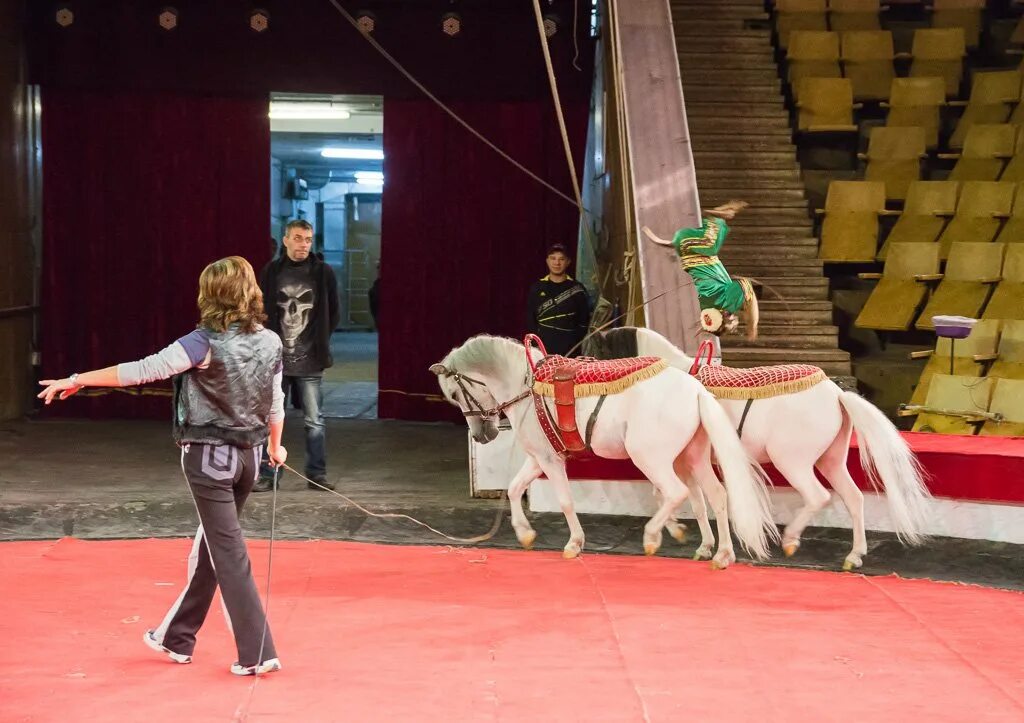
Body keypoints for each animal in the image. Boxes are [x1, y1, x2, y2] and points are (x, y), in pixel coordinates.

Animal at [430, 331, 774, 565]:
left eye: (455, 394)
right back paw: (721, 554)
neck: (528, 386)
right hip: (693, 456)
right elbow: (514, 489)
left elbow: (565, 501)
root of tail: (696, 389)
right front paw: (524, 533)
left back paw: (653, 536)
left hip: (650, 457)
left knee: (676, 492)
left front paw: (574, 543)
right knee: (716, 495)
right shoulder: (539, 458)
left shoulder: (550, 460)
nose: (481, 435)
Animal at [598, 327, 937, 569]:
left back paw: (790, 539)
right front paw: (698, 542)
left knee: (818, 496)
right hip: (831, 460)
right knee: (854, 498)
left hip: (793, 462)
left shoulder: (681, 460)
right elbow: (693, 501)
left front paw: (675, 532)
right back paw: (854, 555)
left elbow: (671, 495)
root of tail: (837, 394)